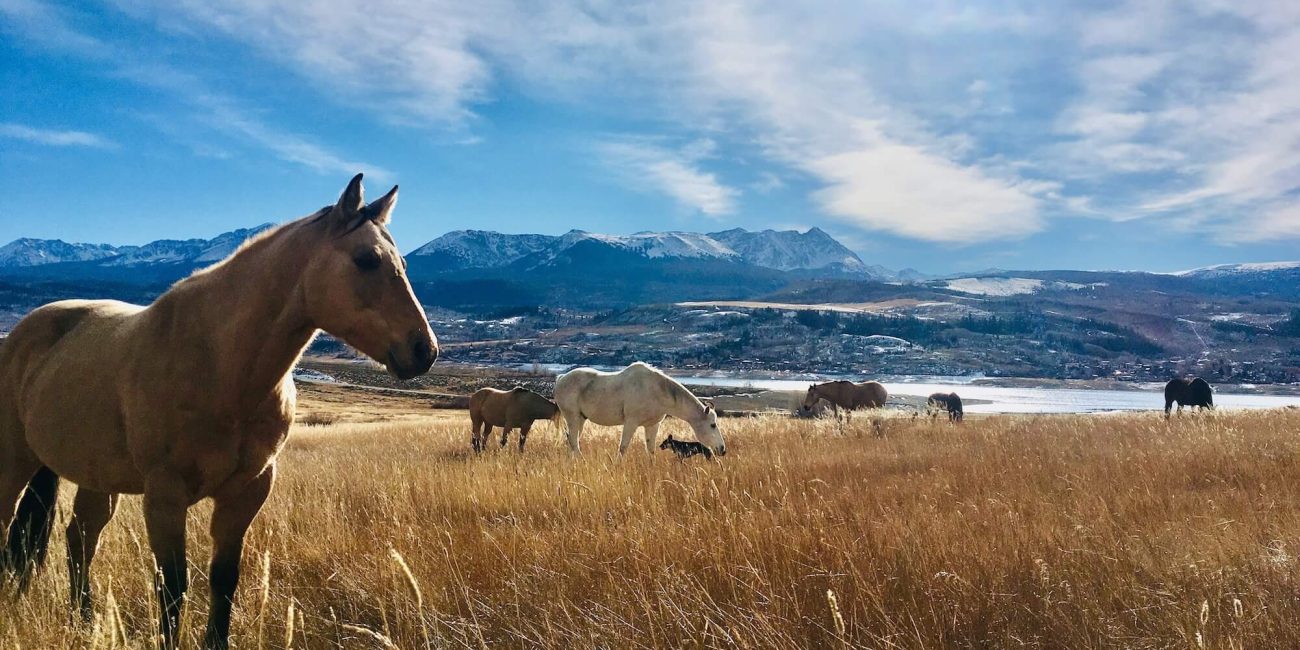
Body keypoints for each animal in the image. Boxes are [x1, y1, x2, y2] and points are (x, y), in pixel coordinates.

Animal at [0, 174, 437, 649]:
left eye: (403, 264)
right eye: (366, 260)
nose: (425, 350)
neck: (220, 366)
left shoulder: (246, 491)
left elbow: (224, 579)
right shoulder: (165, 495)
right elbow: (173, 587)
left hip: (97, 477)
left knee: (80, 541)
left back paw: (85, 621)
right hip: (15, 462)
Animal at [554, 362, 725, 456]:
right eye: (712, 425)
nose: (722, 449)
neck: (656, 390)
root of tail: (561, 378)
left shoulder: (652, 425)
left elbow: (650, 449)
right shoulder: (631, 423)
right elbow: (623, 447)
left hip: (580, 419)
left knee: (572, 440)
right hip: (572, 417)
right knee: (574, 441)